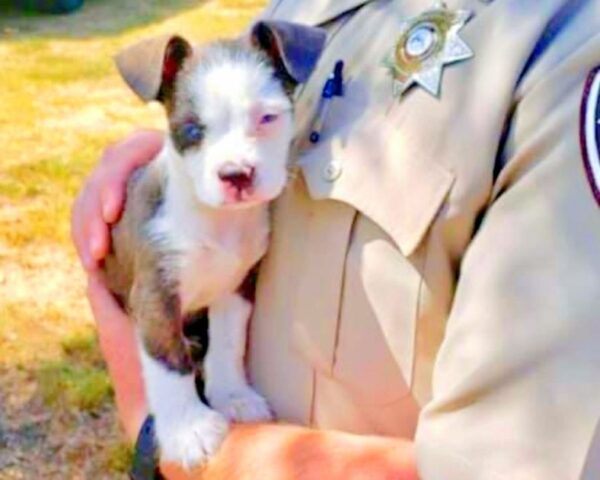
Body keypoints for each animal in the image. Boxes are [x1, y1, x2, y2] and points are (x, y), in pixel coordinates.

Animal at [104, 22, 328, 468]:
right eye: (192, 130)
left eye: (267, 118)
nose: (236, 174)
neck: (215, 222)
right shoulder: (155, 297)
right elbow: (169, 364)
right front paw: (187, 430)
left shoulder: (237, 287)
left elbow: (227, 343)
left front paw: (233, 396)